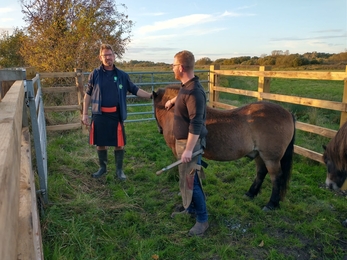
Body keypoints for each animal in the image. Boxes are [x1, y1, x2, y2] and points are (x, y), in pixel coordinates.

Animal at [153, 85, 296, 211]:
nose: (159, 130)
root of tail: (288, 113)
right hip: (259, 154)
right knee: (261, 172)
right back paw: (250, 193)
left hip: (271, 158)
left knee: (276, 177)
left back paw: (271, 204)